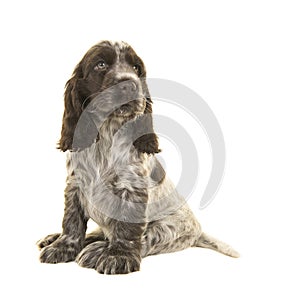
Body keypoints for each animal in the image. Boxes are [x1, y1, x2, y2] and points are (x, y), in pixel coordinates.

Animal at [37, 40, 239, 274]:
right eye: (101, 64)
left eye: (136, 68)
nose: (130, 85)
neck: (107, 135)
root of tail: (198, 231)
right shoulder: (75, 184)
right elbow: (72, 221)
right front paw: (62, 246)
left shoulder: (132, 187)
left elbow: (127, 229)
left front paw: (118, 256)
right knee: (99, 232)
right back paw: (56, 239)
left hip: (169, 228)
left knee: (142, 239)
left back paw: (96, 251)